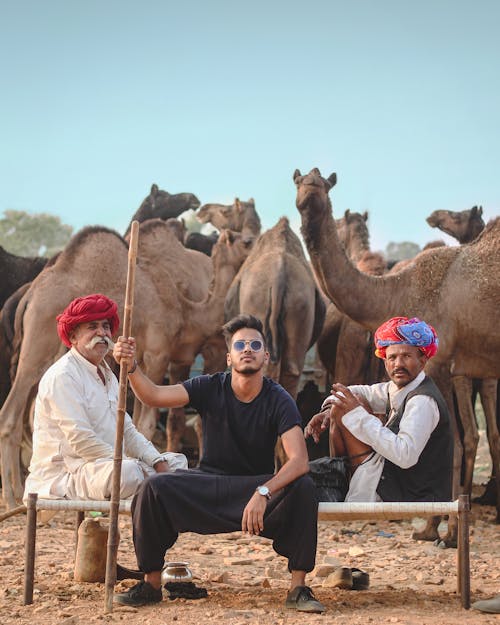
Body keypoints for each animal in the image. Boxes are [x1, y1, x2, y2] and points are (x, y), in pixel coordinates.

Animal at [292, 168, 500, 524]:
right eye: (299, 181)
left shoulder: (441, 362)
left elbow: (453, 445)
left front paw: (436, 527)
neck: (396, 291)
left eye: (320, 185)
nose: (306, 199)